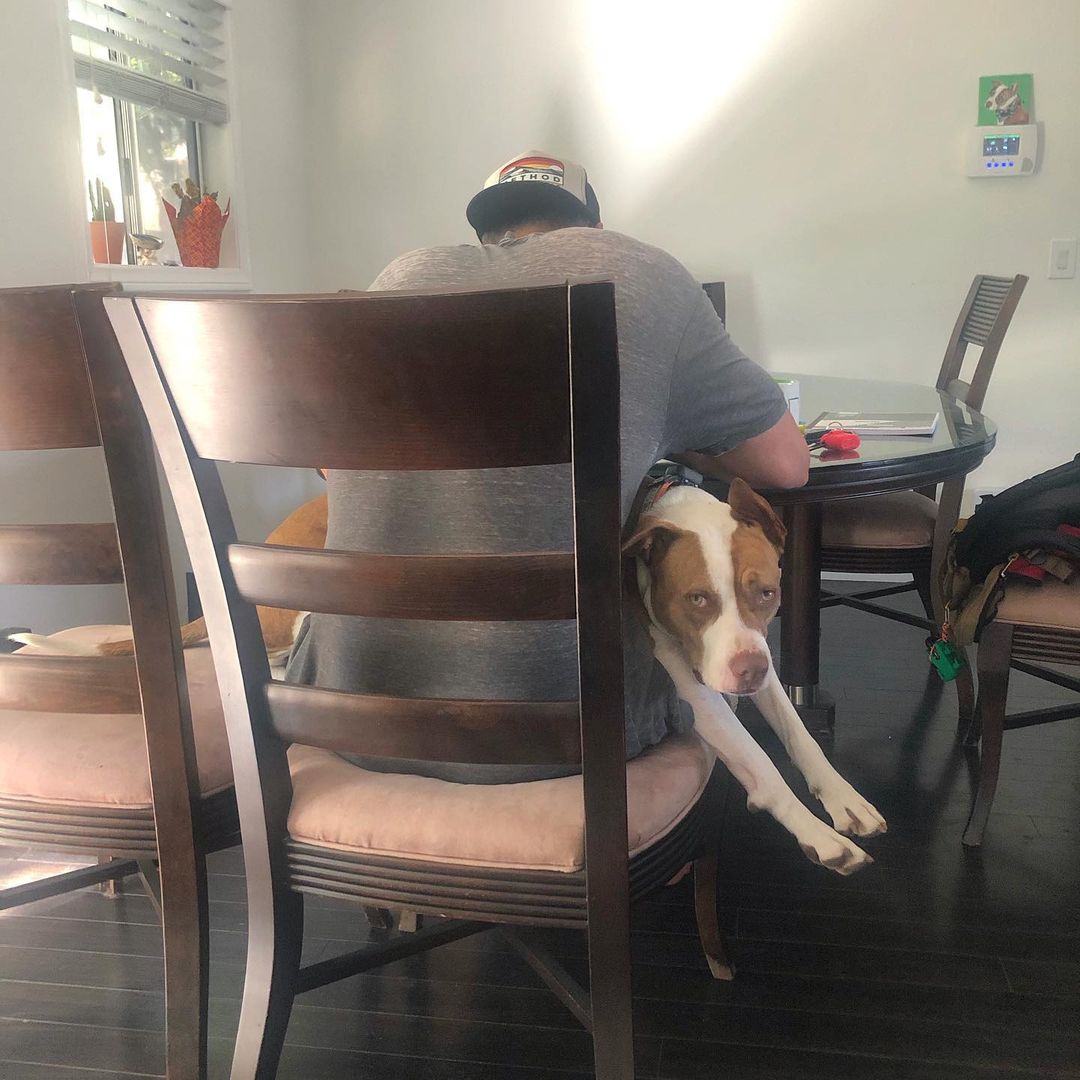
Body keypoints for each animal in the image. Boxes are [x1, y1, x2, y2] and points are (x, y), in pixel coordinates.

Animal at [626, 481, 885, 876]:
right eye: (697, 599)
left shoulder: (764, 663)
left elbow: (798, 732)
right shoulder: (691, 684)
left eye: (767, 593)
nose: (750, 669)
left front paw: (843, 797)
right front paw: (818, 834)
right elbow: (759, 759)